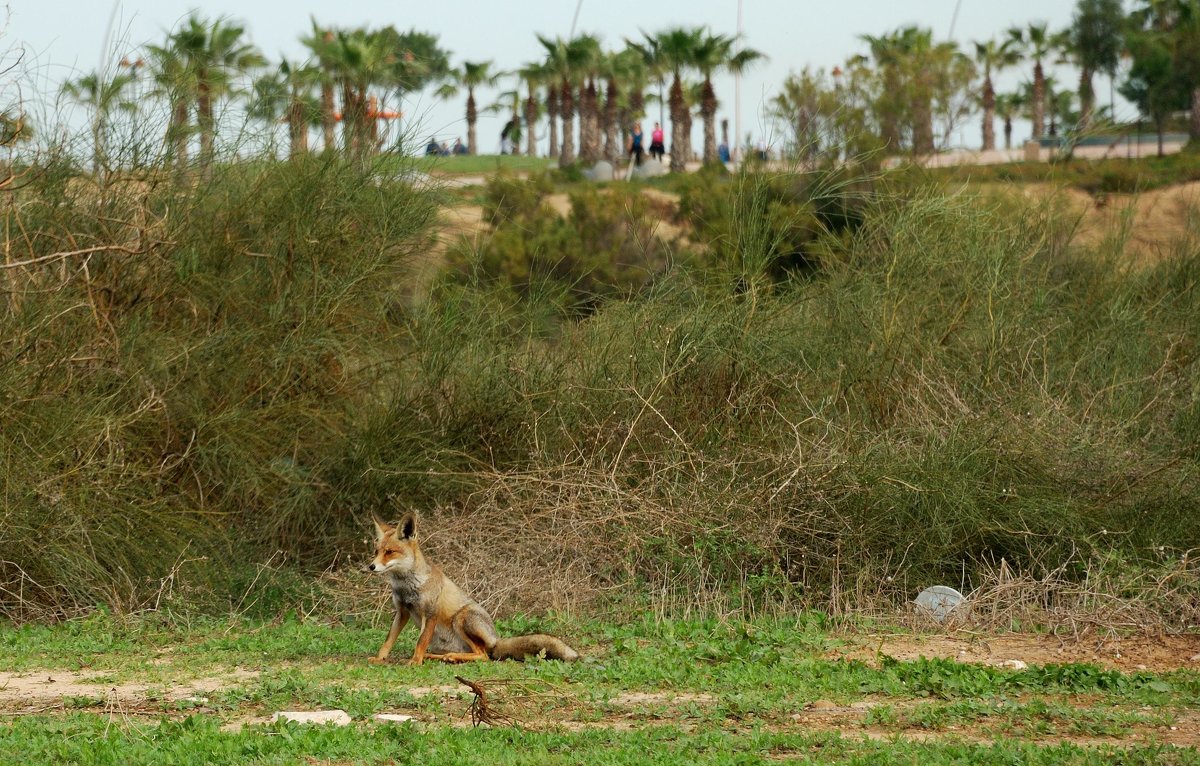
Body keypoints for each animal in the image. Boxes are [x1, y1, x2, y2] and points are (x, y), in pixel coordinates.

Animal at [364, 516, 580, 667]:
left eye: (390, 552)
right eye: (376, 551)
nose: (371, 566)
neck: (407, 586)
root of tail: (495, 639)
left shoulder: (431, 613)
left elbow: (420, 642)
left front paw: (415, 662)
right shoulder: (402, 612)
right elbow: (389, 640)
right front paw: (380, 658)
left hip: (462, 618)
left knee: (483, 655)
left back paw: (451, 657)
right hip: (443, 640)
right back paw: (441, 657)